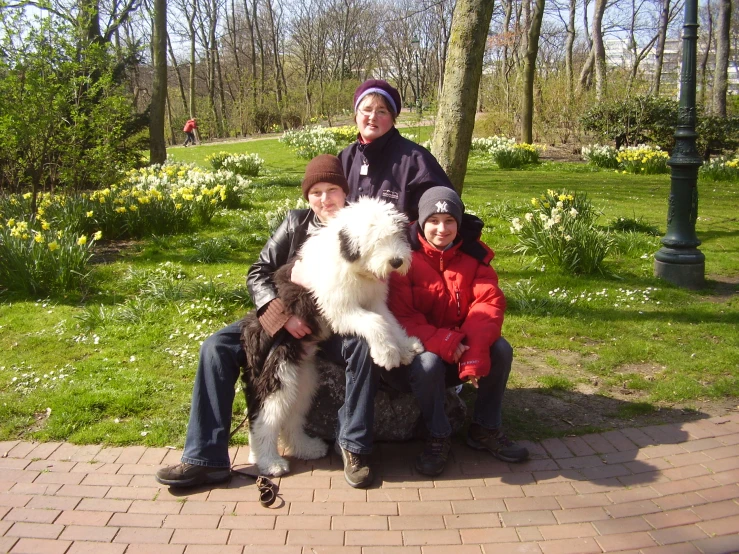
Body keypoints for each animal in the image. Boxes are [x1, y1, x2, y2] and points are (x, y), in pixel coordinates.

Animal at [241, 197, 422, 474]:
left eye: (396, 235)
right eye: (375, 240)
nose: (396, 262)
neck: (355, 267)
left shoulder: (374, 300)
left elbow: (389, 320)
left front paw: (406, 347)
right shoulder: (341, 308)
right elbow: (375, 322)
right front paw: (387, 354)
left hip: (302, 379)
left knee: (292, 416)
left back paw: (306, 448)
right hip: (278, 373)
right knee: (264, 420)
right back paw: (270, 463)